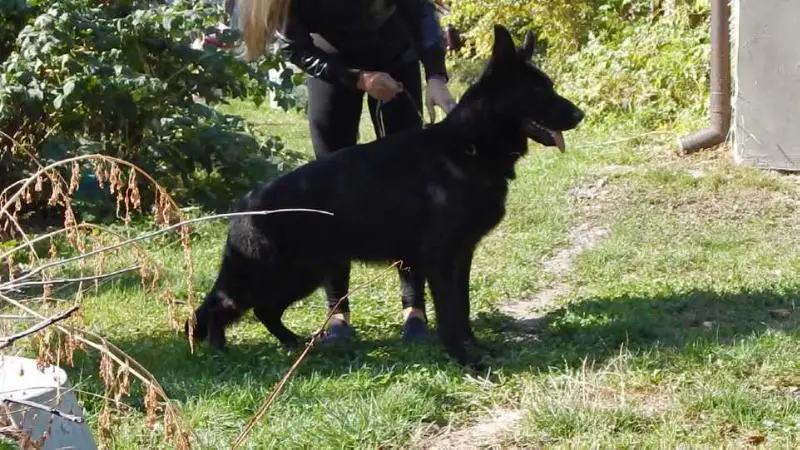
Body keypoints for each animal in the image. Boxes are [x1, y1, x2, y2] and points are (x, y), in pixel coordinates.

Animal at [186, 24, 584, 367]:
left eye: (549, 87)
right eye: (538, 92)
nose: (580, 114)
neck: (468, 148)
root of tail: (244, 204)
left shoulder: (461, 257)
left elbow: (465, 308)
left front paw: (475, 347)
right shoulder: (441, 261)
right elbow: (451, 315)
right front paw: (465, 359)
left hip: (301, 274)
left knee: (263, 309)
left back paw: (293, 343)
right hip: (266, 272)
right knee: (217, 307)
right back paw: (220, 351)